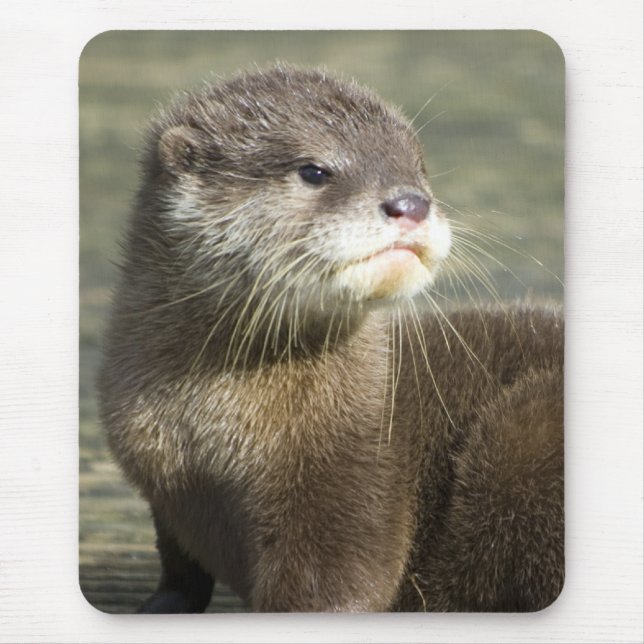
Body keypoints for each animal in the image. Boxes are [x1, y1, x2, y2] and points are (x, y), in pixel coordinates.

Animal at [98, 65, 564, 613]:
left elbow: (340, 586)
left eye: (419, 167)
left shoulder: (356, 480)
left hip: (523, 433)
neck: (207, 435)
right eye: (314, 171)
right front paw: (161, 604)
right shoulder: (163, 489)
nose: (411, 202)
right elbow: (180, 568)